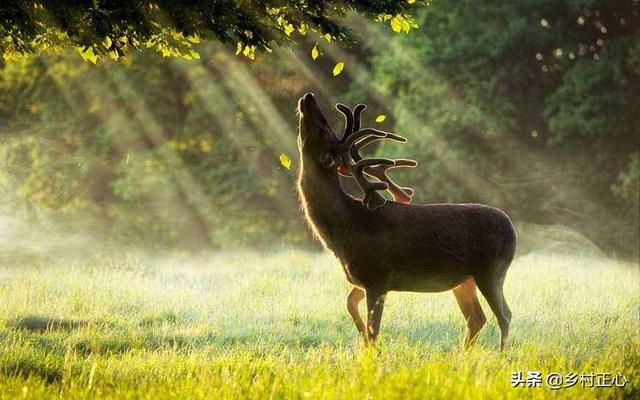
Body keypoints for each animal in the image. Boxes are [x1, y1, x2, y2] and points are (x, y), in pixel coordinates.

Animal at [296, 94, 516, 350]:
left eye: (322, 130)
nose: (309, 96)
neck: (344, 229)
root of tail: (512, 229)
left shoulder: (378, 275)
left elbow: (374, 330)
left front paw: (370, 352)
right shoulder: (363, 278)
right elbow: (350, 305)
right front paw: (361, 339)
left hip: (491, 269)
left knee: (504, 315)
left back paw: (500, 354)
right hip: (464, 279)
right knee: (476, 317)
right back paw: (463, 354)